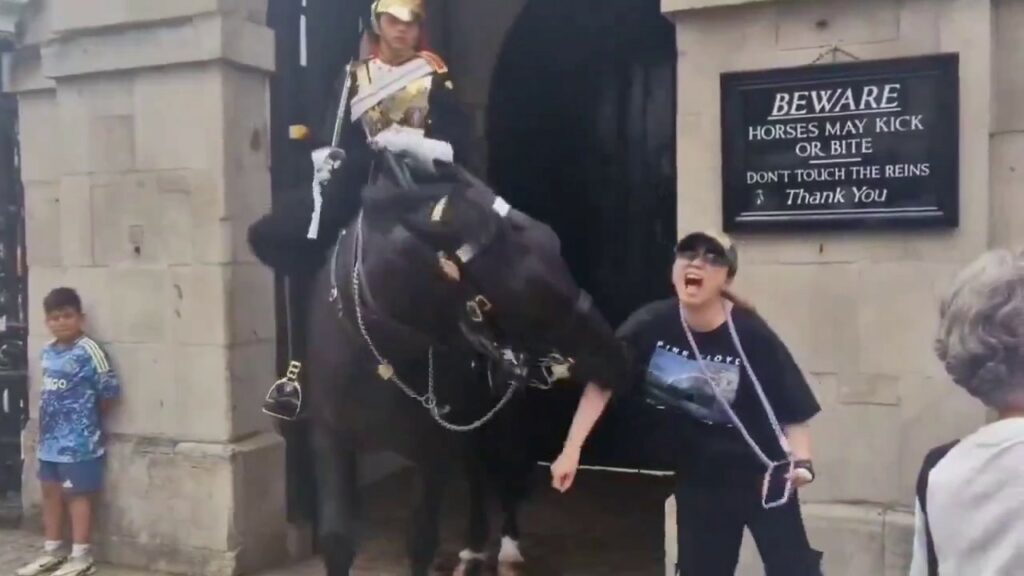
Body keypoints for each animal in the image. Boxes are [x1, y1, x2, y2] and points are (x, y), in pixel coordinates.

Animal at [274, 158, 622, 573]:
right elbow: (336, 539)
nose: (618, 357)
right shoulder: (331, 435)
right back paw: (473, 546)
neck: (380, 352)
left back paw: (505, 547)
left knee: (503, 469)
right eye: (529, 287)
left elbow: (422, 539)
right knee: (476, 471)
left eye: (554, 245)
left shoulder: (433, 449)